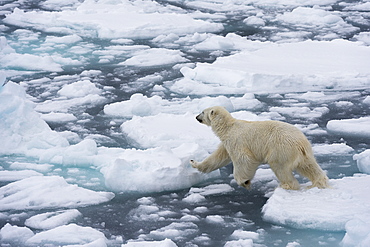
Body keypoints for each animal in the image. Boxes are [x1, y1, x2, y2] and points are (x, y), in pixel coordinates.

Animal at [191, 105, 330, 190]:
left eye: (202, 112)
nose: (196, 117)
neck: (228, 127)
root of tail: (300, 142)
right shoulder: (226, 143)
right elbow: (218, 158)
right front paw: (194, 163)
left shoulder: (236, 140)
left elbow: (244, 159)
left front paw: (245, 182)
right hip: (304, 153)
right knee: (309, 166)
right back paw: (319, 182)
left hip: (281, 149)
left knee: (279, 167)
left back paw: (286, 185)